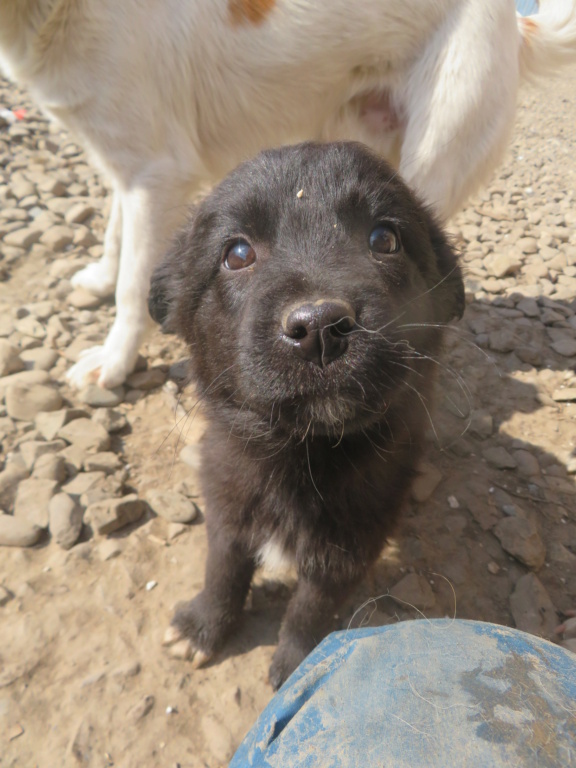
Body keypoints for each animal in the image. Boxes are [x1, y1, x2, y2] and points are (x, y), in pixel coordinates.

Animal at [0, 0, 572, 384]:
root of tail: (514, 22)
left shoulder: (157, 171)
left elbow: (133, 286)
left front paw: (113, 364)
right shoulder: (127, 164)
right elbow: (114, 235)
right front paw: (98, 277)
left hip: (431, 164)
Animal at [148, 140, 464, 688]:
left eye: (385, 239)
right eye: (237, 254)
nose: (320, 327)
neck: (303, 457)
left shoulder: (351, 547)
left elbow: (310, 611)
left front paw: (298, 666)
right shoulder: (228, 504)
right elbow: (223, 569)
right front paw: (203, 625)